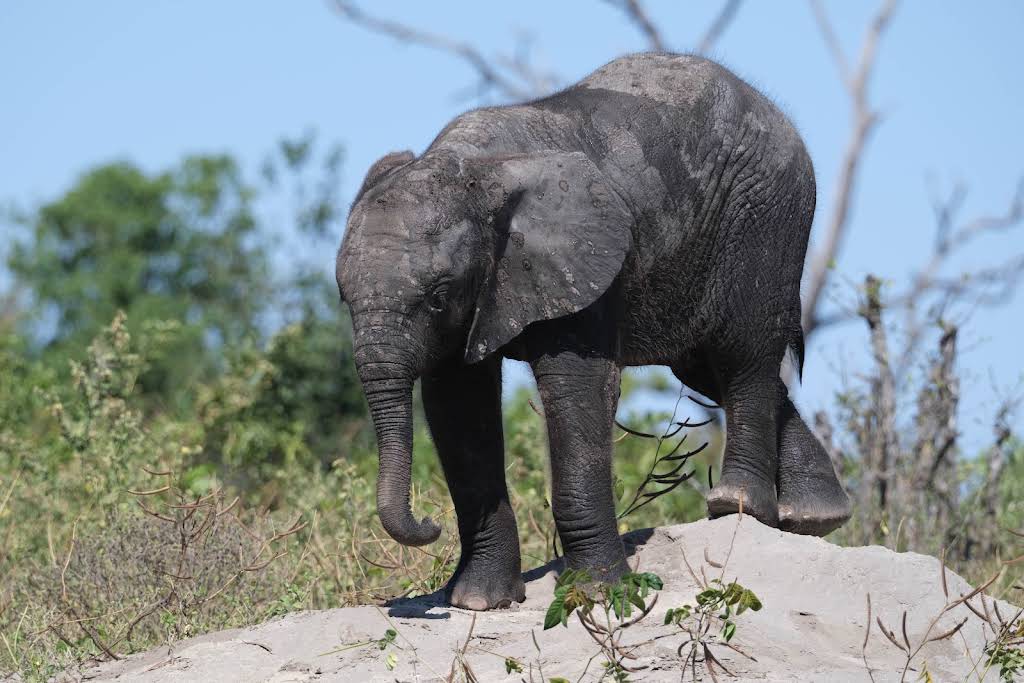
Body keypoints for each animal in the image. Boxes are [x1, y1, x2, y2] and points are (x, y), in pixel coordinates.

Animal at [335, 52, 852, 611]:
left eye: (436, 294)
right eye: (342, 297)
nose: (427, 522)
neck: (475, 169)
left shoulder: (579, 261)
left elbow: (576, 388)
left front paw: (599, 594)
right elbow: (458, 407)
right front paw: (478, 602)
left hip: (766, 214)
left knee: (741, 353)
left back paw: (738, 506)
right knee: (703, 366)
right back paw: (814, 515)